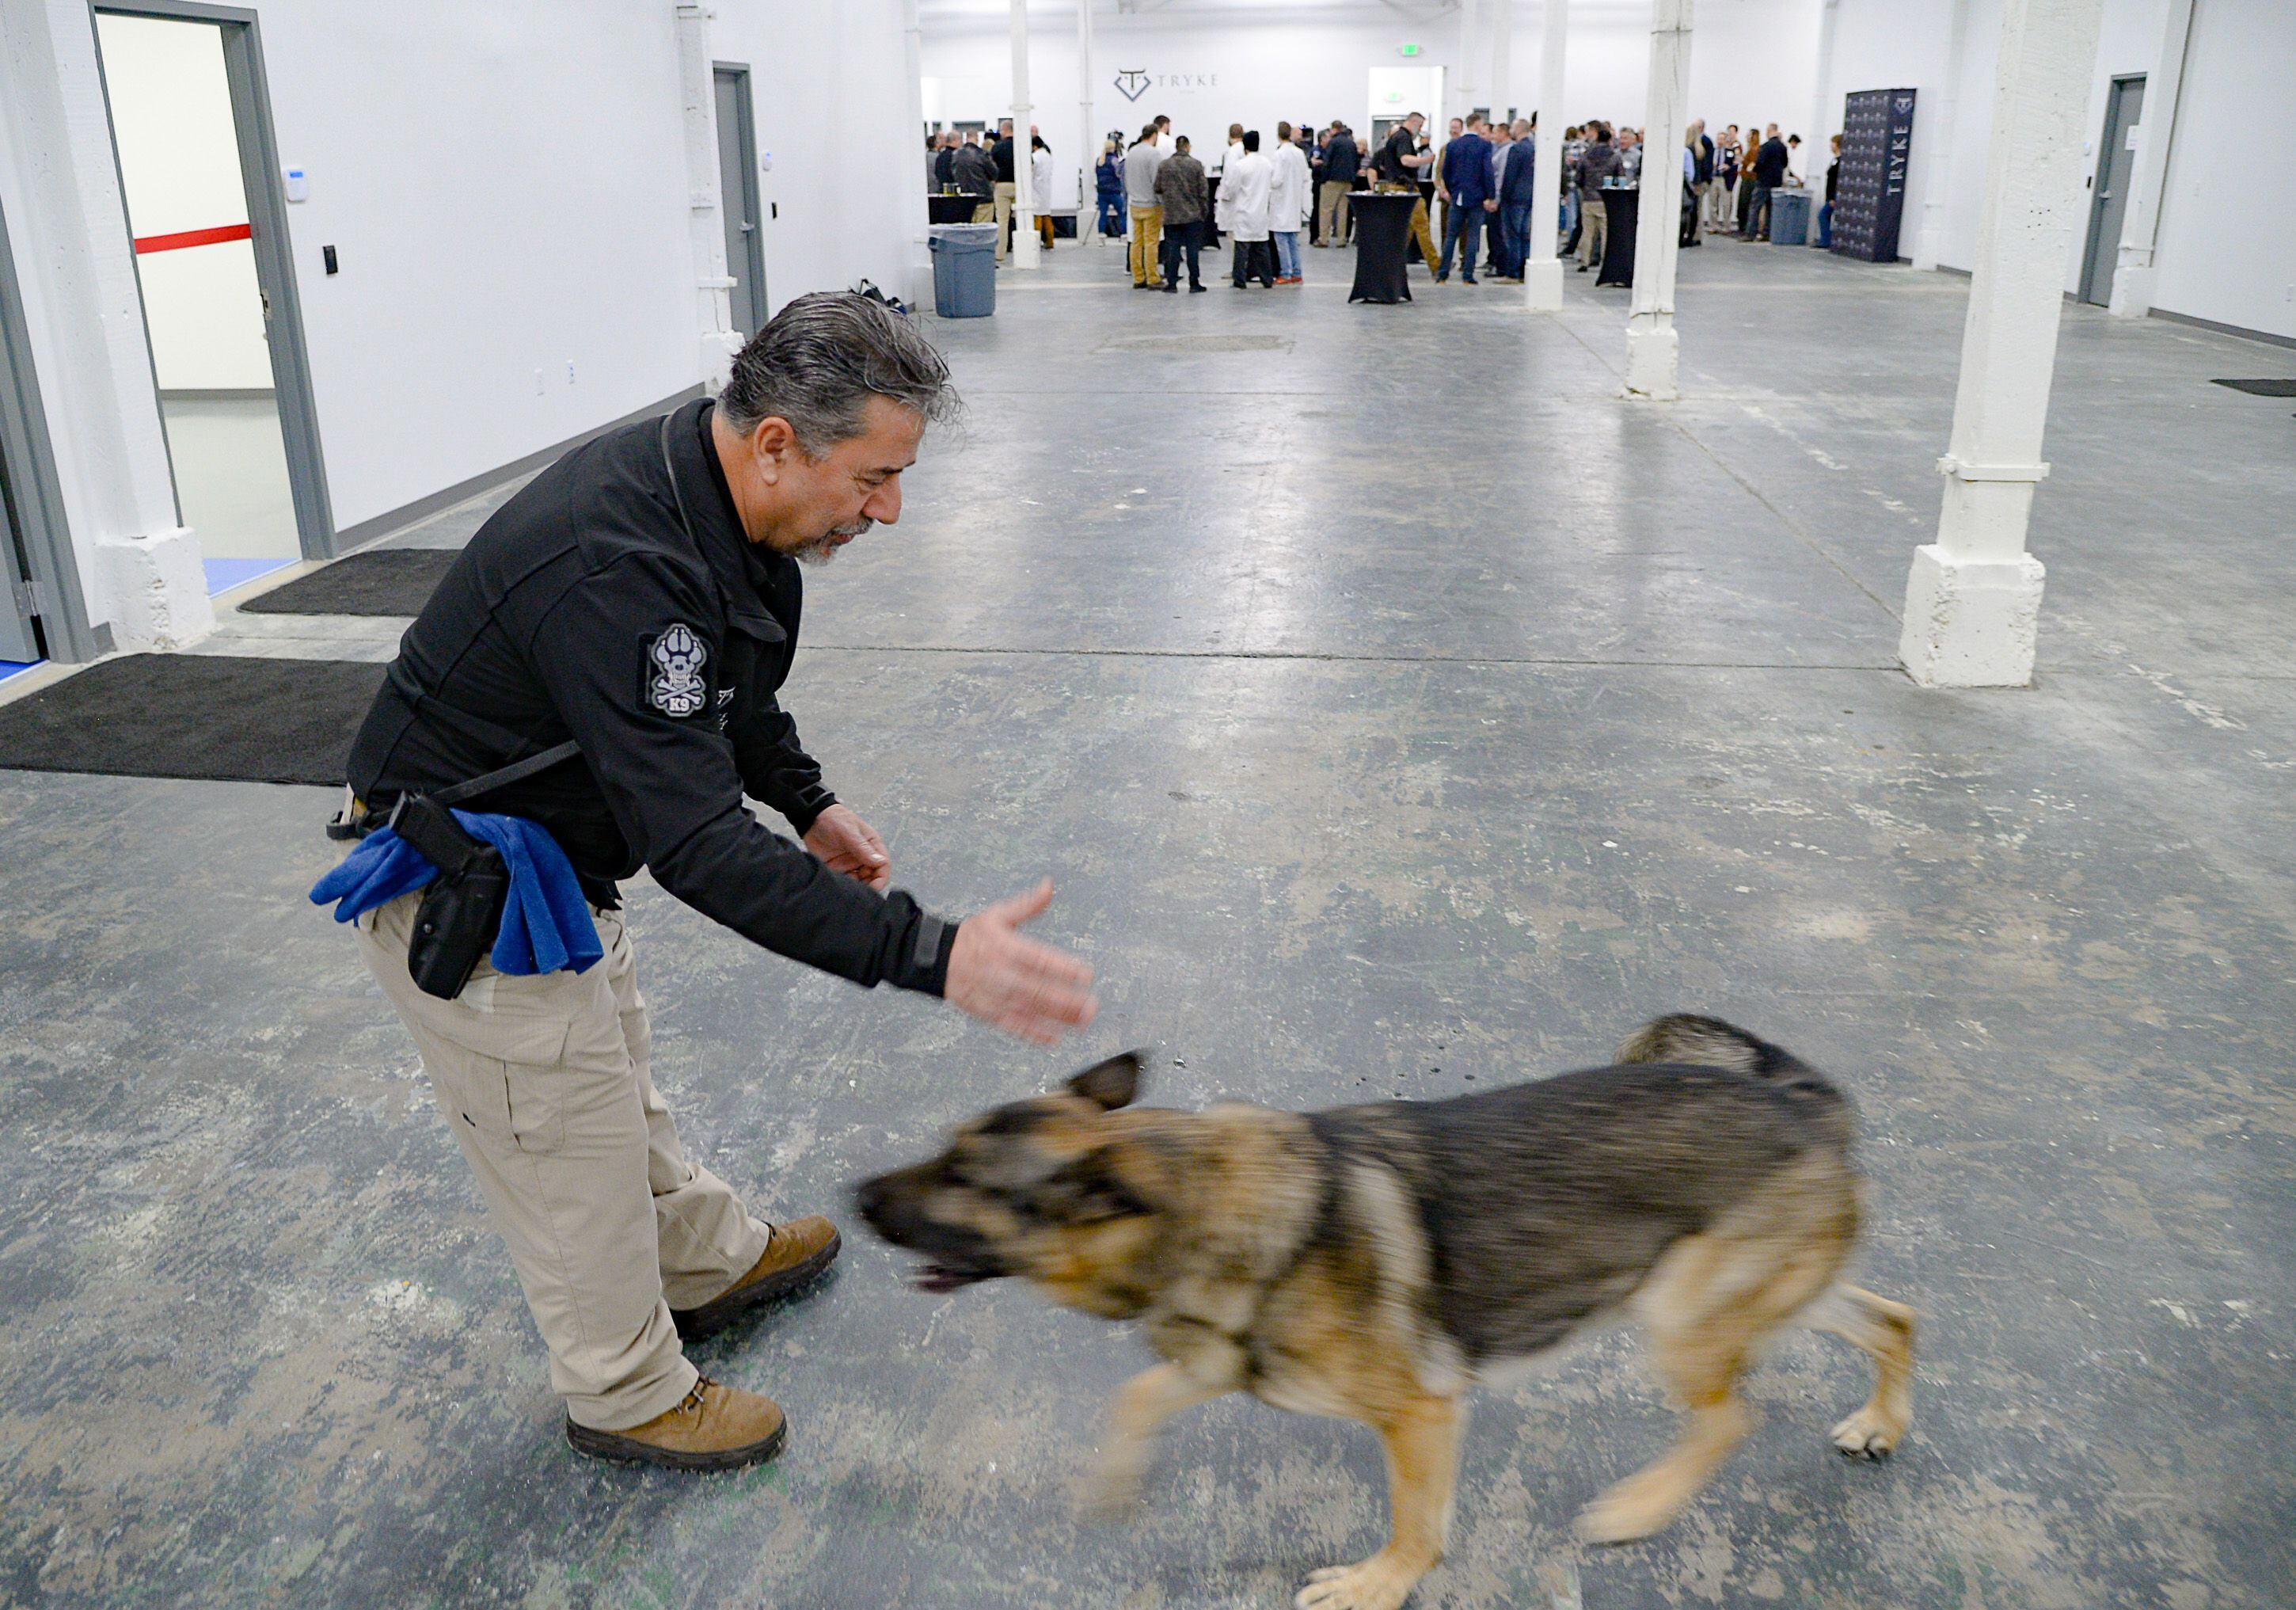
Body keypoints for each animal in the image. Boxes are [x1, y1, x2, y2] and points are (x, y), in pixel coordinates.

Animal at [853, 1014, 1910, 1608]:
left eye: (964, 1178)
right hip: (1753, 1296)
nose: (852, 1190)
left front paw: (1375, 1585)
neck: (1194, 1201)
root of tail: (1804, 1104)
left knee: (1732, 1415)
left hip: (1680, 1320)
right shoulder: (1218, 1358)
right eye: (945, 1149)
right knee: (1893, 1316)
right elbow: (1138, 1396)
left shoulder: (1420, 1414)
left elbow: (1415, 1523)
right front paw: (1115, 1480)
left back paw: (1641, 1504)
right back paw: (1878, 1422)